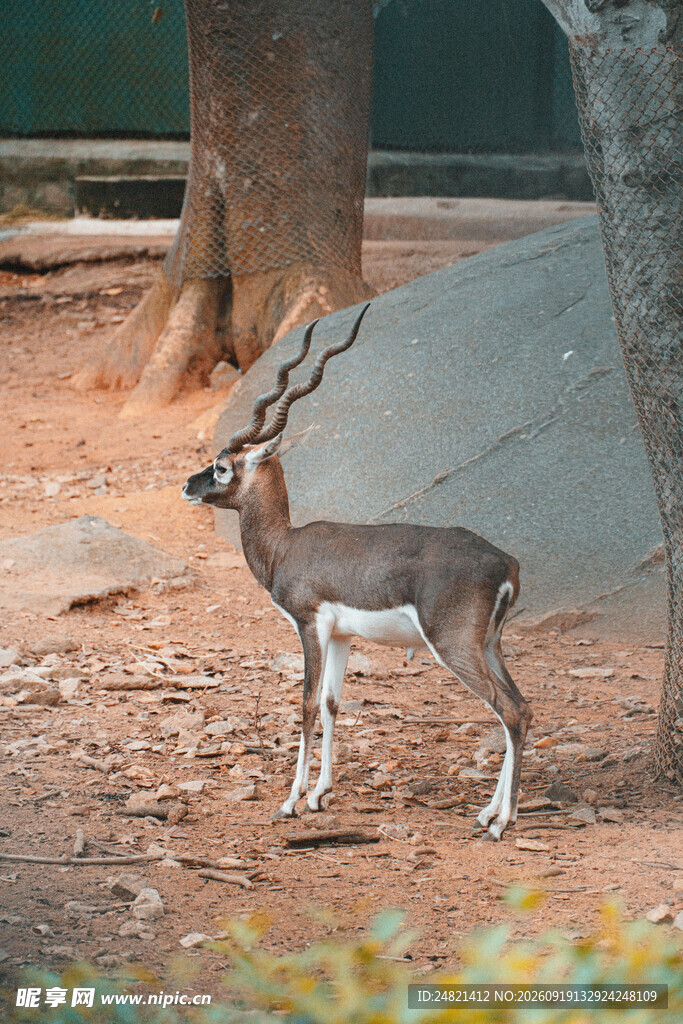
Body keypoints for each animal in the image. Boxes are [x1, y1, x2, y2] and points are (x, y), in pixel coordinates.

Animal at [183, 303, 532, 839]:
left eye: (222, 467)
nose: (188, 485)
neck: (286, 545)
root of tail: (505, 562)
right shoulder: (342, 635)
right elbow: (332, 702)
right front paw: (320, 795)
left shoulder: (309, 625)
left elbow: (306, 703)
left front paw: (290, 801)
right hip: (490, 644)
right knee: (521, 706)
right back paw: (488, 813)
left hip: (453, 646)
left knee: (508, 710)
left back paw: (501, 822)